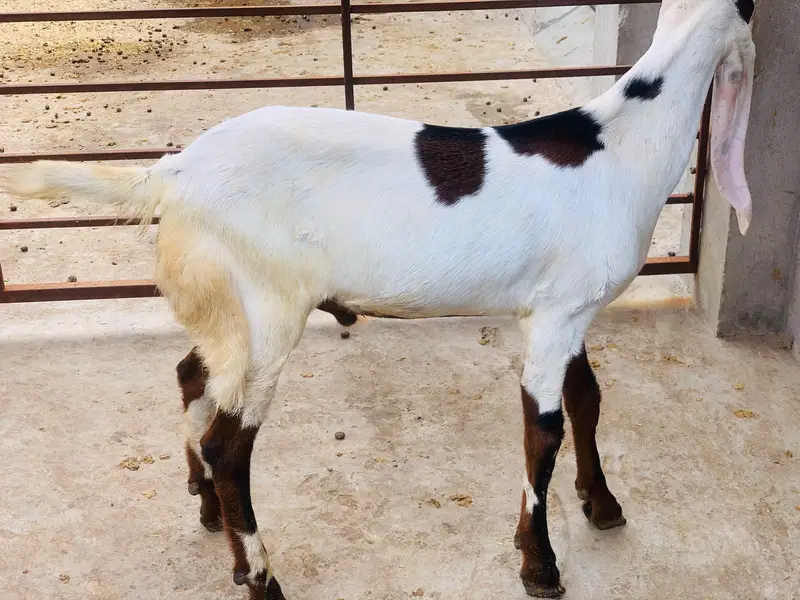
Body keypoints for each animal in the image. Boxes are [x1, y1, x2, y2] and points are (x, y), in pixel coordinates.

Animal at [1, 1, 756, 597]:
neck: (621, 141)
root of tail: (171, 175)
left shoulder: (563, 309)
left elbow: (586, 401)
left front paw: (600, 503)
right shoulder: (558, 314)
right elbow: (544, 431)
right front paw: (539, 565)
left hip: (227, 307)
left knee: (192, 375)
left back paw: (214, 519)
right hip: (268, 309)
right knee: (229, 447)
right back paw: (262, 576)